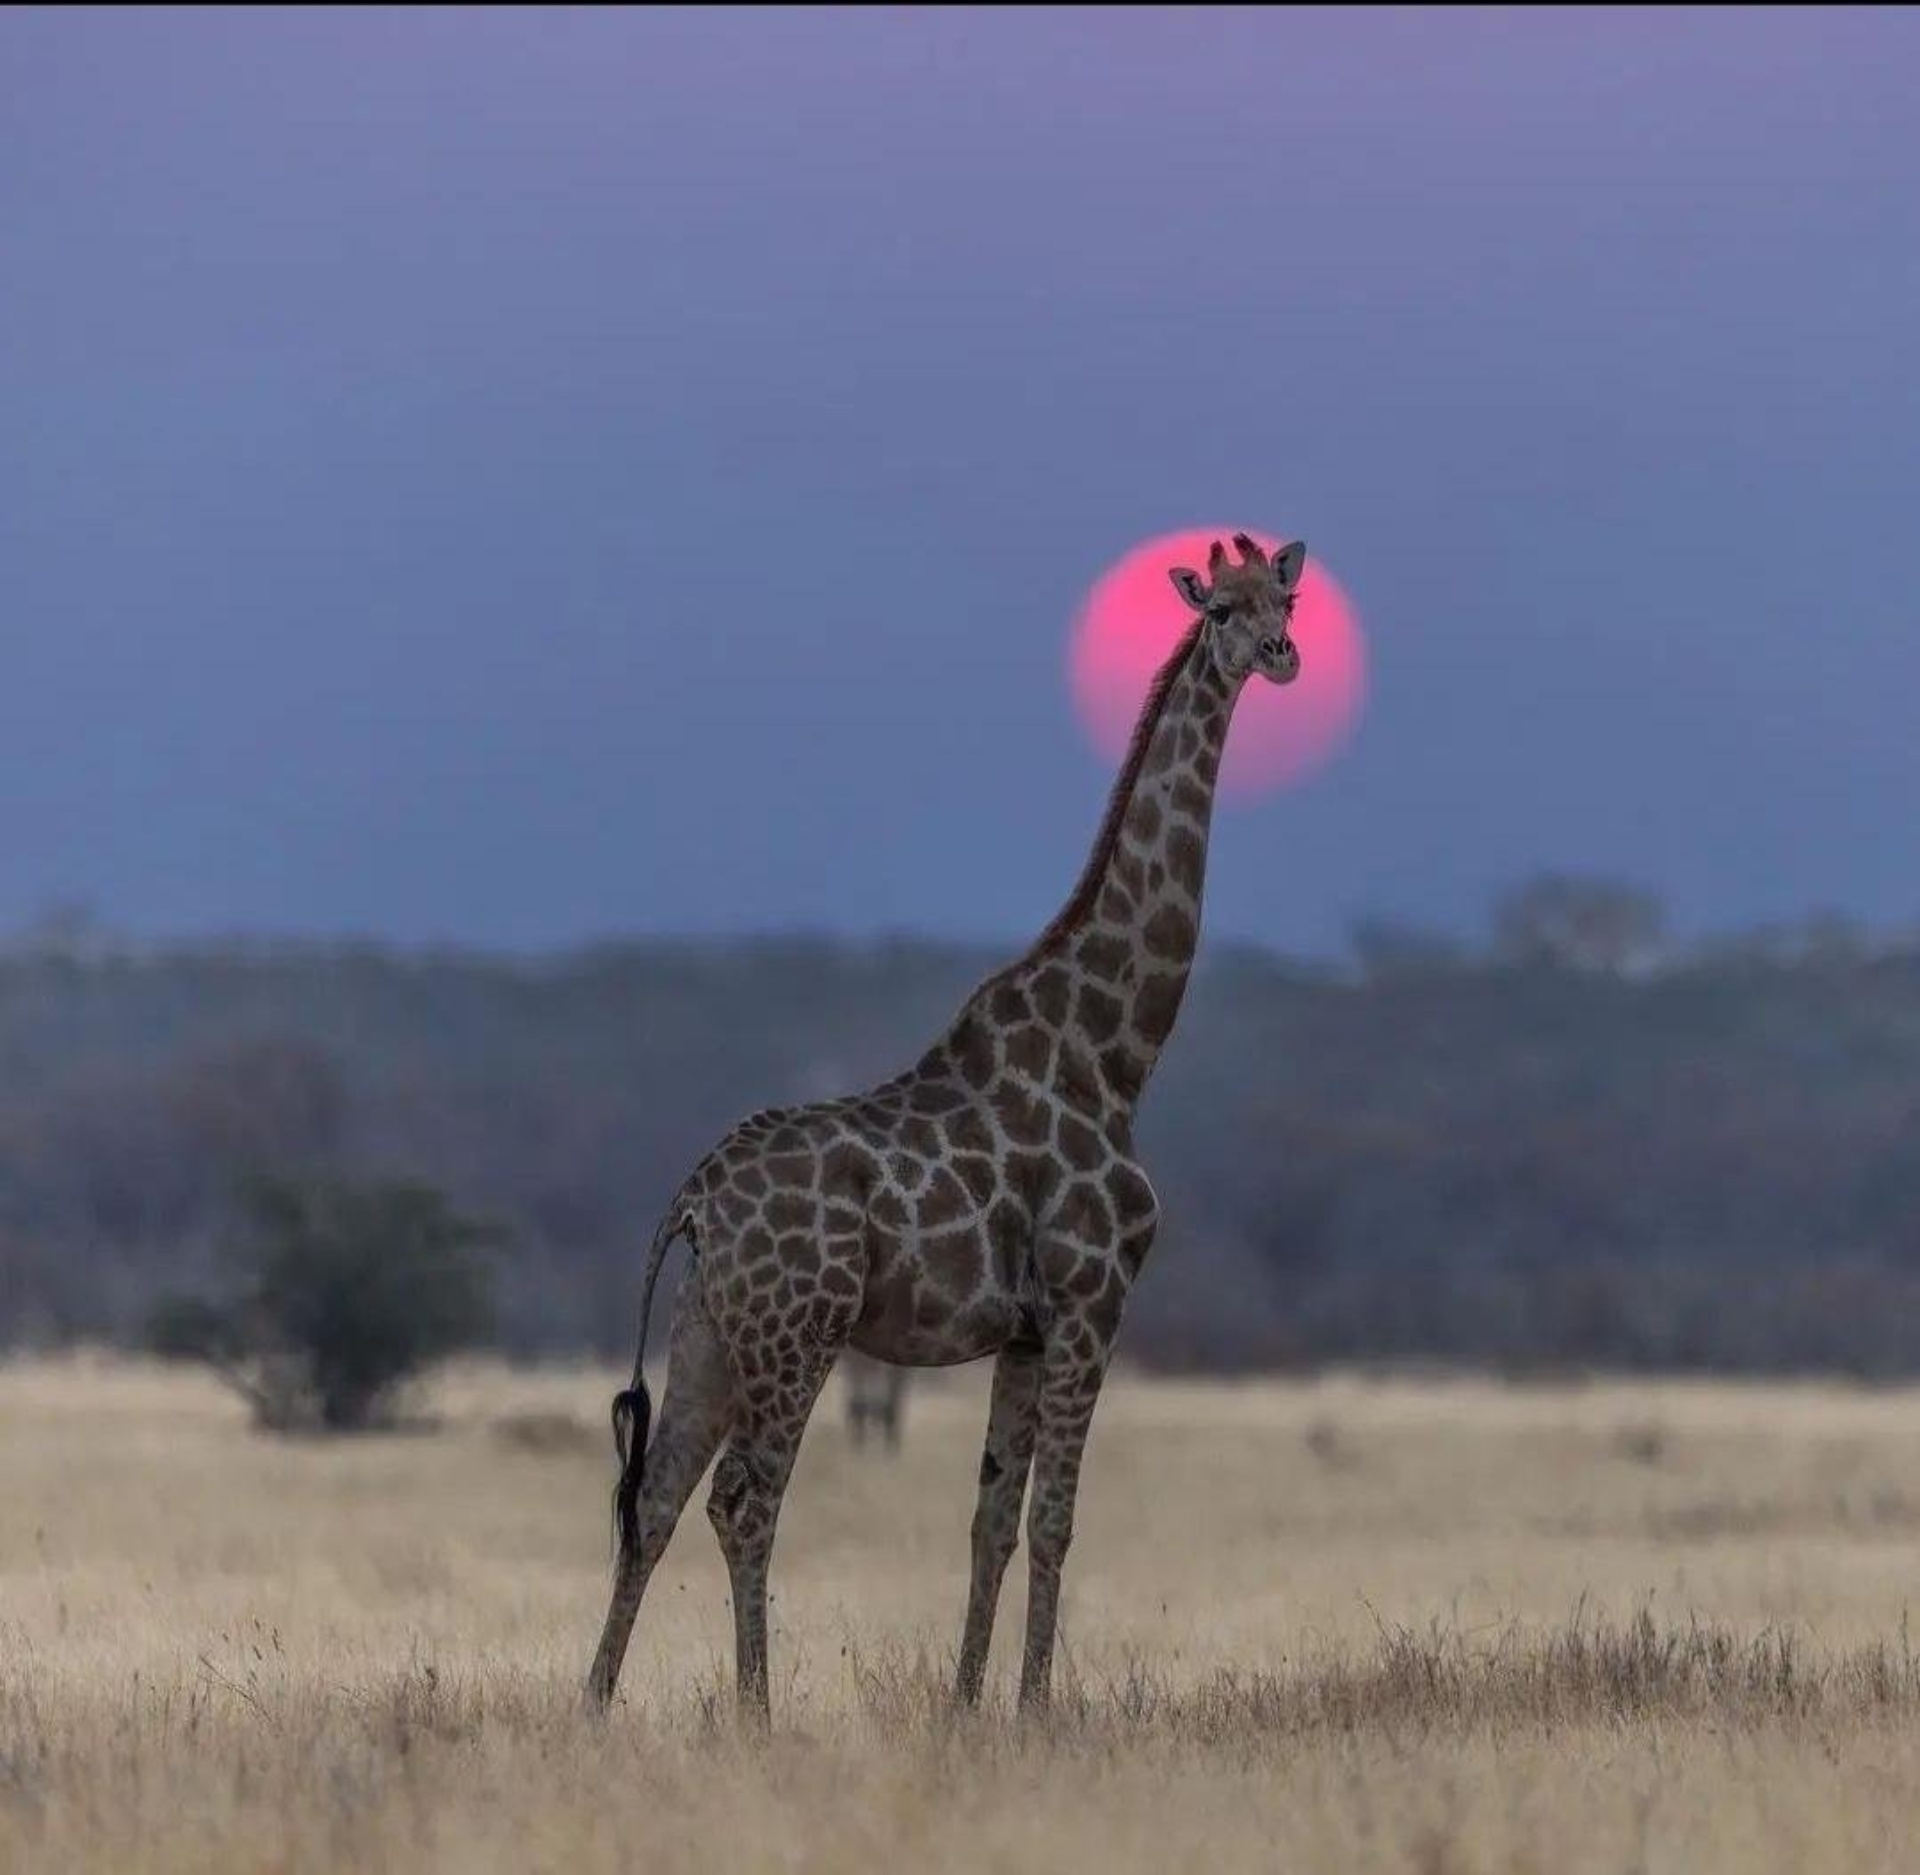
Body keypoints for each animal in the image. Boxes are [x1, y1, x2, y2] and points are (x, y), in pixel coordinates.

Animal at [583, 533, 1305, 1719]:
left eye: (1287, 598)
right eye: (1222, 609)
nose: (1283, 655)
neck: (1116, 1056)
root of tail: (693, 1198)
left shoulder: (1024, 1327)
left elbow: (992, 1520)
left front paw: (968, 1705)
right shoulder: (1093, 1297)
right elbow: (1054, 1519)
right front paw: (1036, 1708)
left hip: (710, 1328)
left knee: (655, 1494)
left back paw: (595, 1706)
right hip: (799, 1329)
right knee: (743, 1500)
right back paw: (757, 1712)